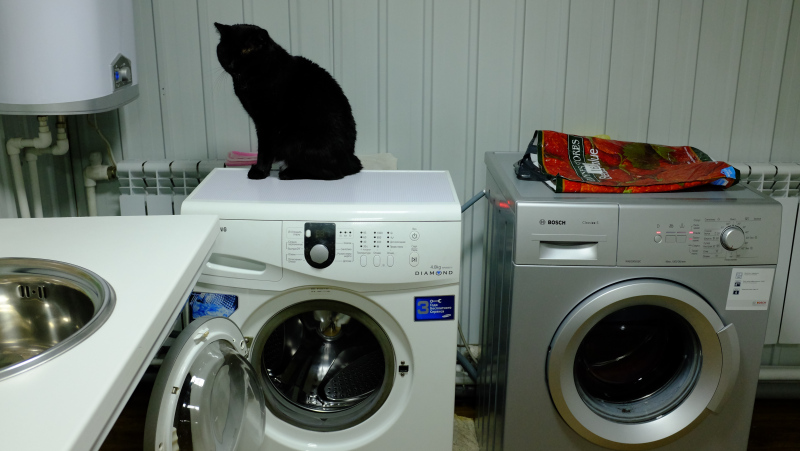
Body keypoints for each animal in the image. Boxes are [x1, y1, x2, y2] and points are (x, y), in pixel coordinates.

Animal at [214, 21, 360, 180]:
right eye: (225, 51)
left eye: (246, 50)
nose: (231, 64)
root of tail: (351, 159)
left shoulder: (267, 122)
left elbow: (264, 149)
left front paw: (259, 171)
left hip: (295, 141)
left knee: (333, 174)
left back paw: (288, 172)